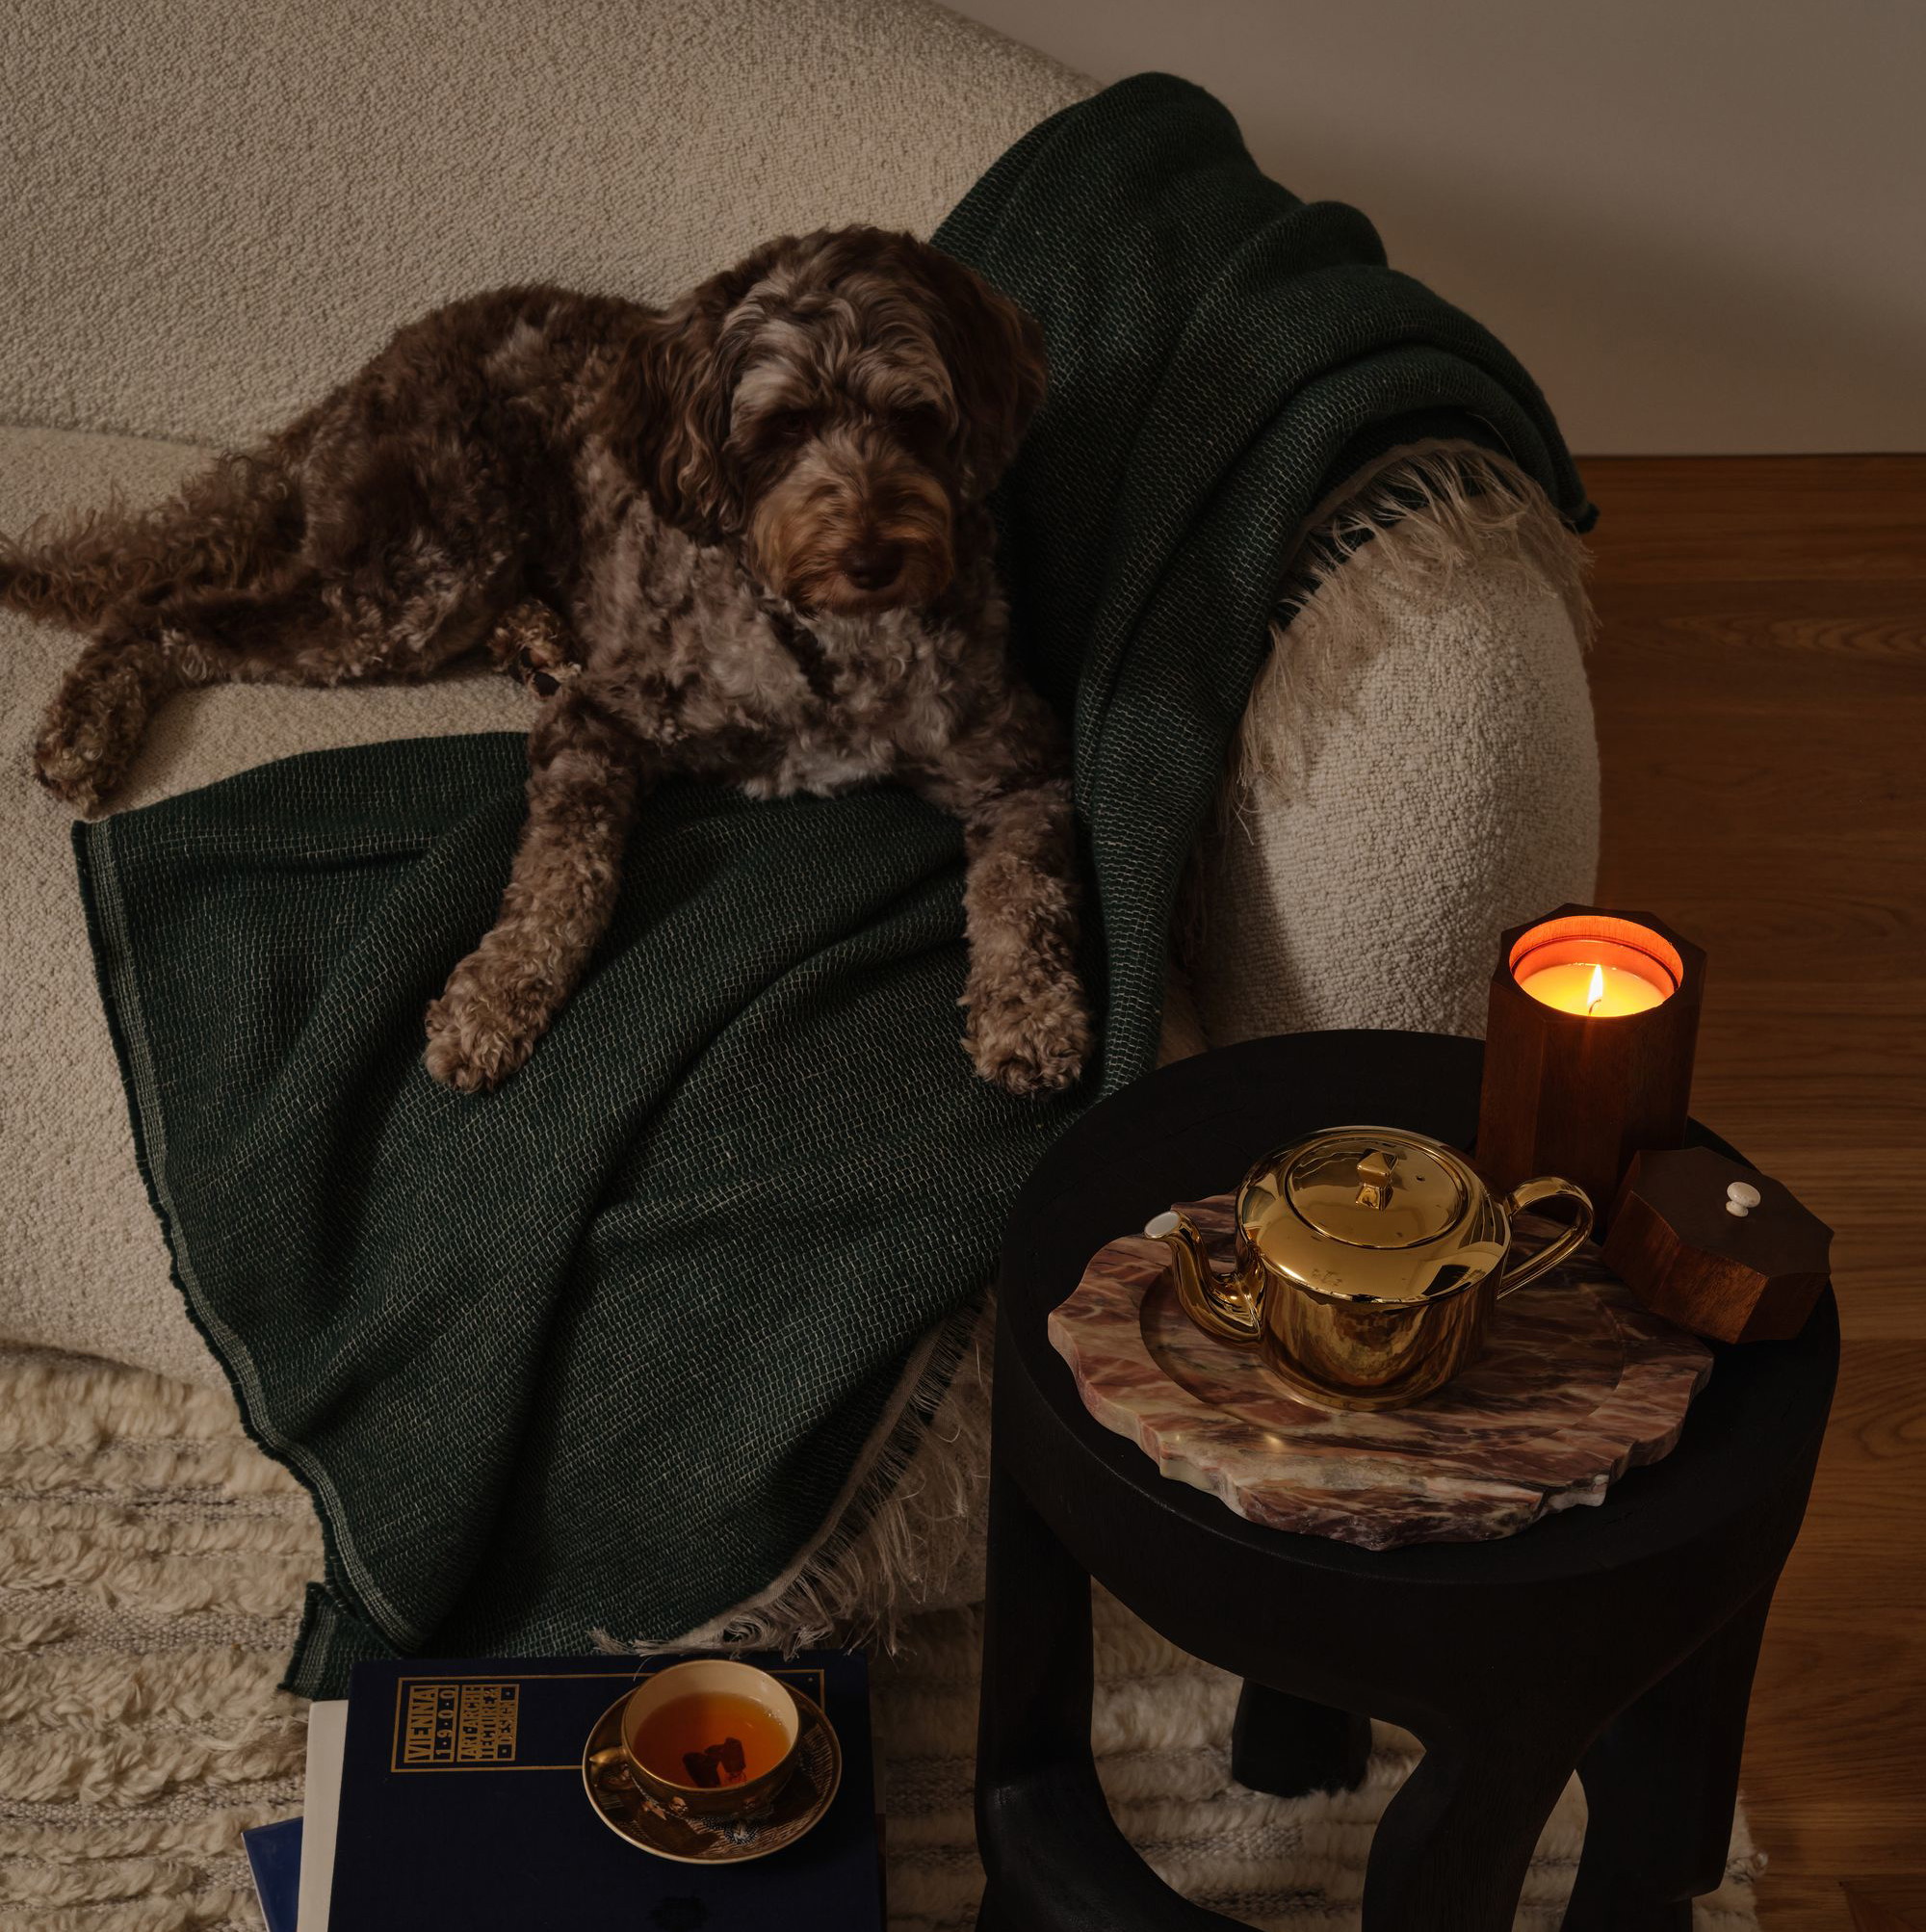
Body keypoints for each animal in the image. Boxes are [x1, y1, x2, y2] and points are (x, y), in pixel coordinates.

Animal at [0, 229, 1089, 1089]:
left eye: (914, 417)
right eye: (782, 427)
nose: (871, 559)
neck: (829, 646)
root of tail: (382, 361)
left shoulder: (1020, 759)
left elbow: (1023, 890)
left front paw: (1030, 1009)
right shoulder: (603, 718)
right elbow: (565, 881)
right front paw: (496, 995)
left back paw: (536, 638)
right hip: (415, 577)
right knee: (164, 610)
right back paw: (88, 726)